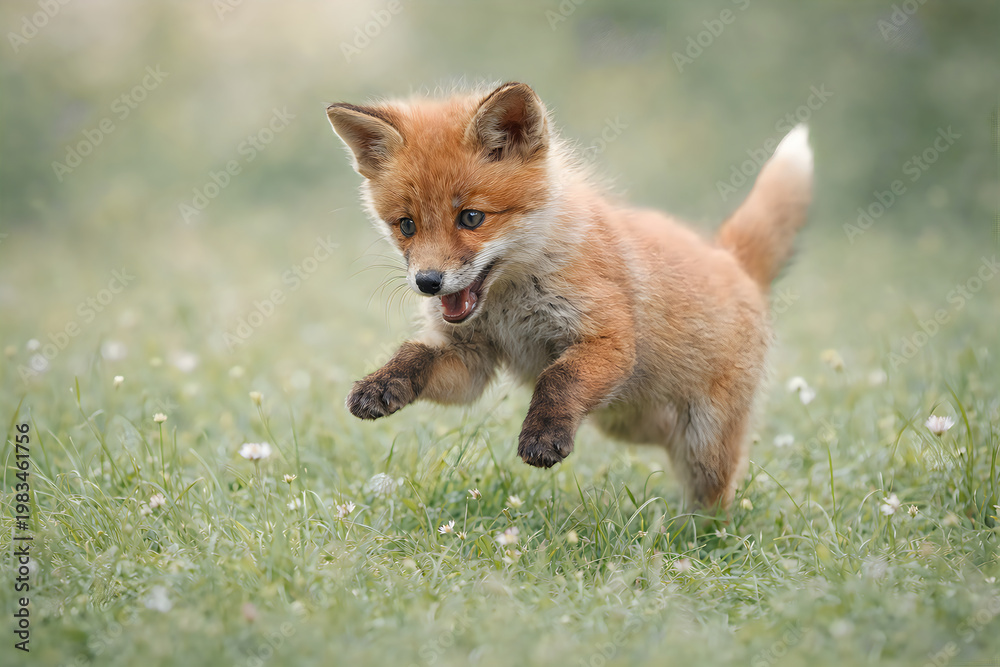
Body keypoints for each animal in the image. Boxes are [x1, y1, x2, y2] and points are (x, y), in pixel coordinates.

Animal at [326, 82, 812, 509]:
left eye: (471, 217)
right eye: (406, 225)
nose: (428, 282)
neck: (511, 300)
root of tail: (730, 256)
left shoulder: (608, 339)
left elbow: (557, 378)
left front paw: (542, 437)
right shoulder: (470, 356)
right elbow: (415, 355)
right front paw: (380, 385)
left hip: (703, 443)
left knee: (717, 494)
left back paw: (698, 537)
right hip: (630, 420)